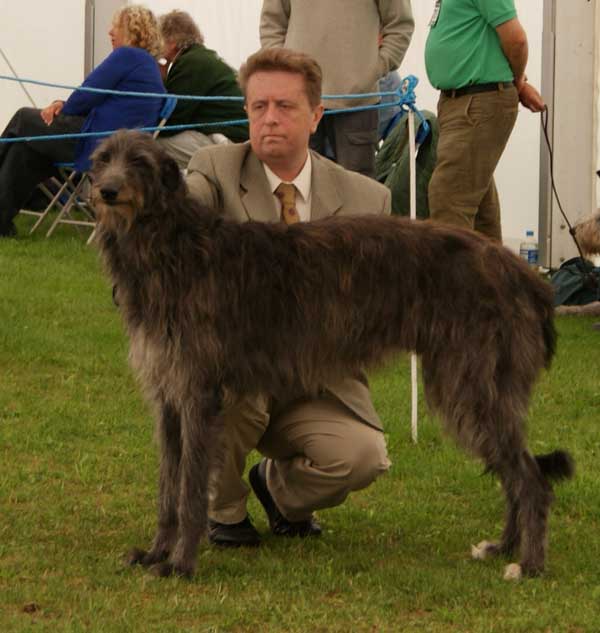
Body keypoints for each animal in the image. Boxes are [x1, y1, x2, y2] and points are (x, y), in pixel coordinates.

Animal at [89, 131, 572, 580]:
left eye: (140, 161)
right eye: (102, 159)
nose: (106, 191)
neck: (173, 246)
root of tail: (523, 273)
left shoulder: (199, 393)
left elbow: (189, 488)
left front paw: (180, 564)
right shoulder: (169, 396)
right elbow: (168, 485)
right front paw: (156, 553)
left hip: (471, 383)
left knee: (530, 477)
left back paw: (528, 564)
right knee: (516, 471)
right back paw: (503, 547)